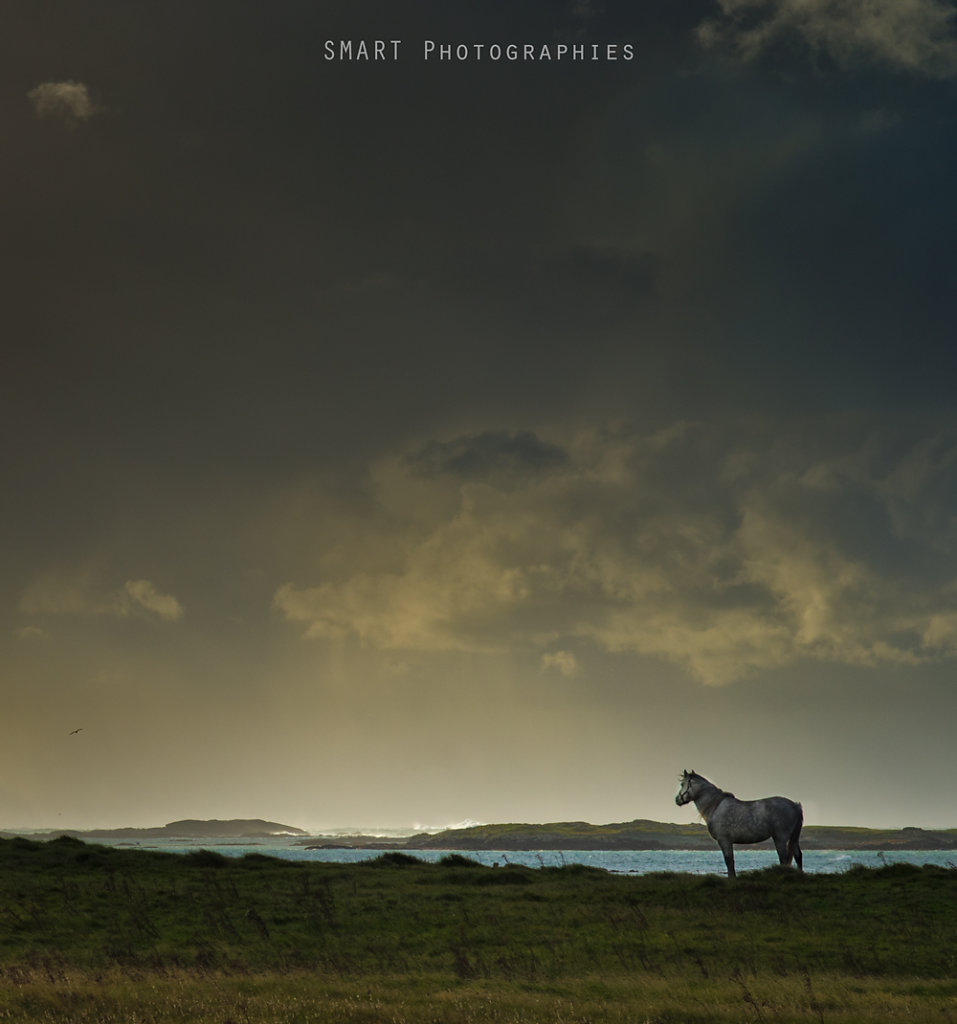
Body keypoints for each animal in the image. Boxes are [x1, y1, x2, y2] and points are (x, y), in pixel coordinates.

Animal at [675, 770, 806, 880]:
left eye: (682, 784)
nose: (677, 800)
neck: (715, 806)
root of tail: (795, 805)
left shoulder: (724, 840)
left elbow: (729, 860)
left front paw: (731, 879)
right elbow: (731, 861)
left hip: (780, 838)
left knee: (784, 858)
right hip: (793, 838)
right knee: (798, 855)